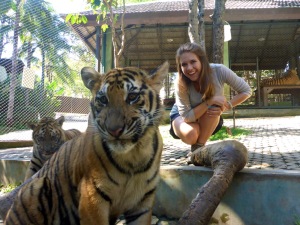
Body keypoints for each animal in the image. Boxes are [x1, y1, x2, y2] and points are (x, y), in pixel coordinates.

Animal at [4, 61, 169, 225]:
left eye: (133, 96)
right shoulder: (92, 196)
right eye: (103, 100)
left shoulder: (143, 203)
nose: (114, 130)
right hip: (37, 185)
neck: (133, 156)